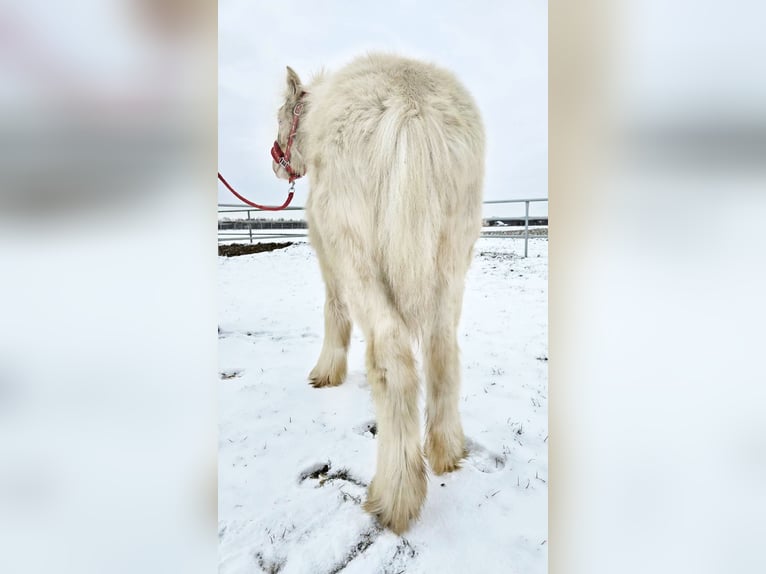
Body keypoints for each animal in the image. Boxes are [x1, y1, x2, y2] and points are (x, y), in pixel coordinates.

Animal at [272, 54, 484, 536]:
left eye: (281, 117)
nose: (277, 163)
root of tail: (410, 105)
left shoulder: (330, 256)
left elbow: (334, 312)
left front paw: (325, 374)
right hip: (451, 261)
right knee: (442, 353)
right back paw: (447, 452)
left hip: (358, 254)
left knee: (395, 359)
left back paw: (394, 498)